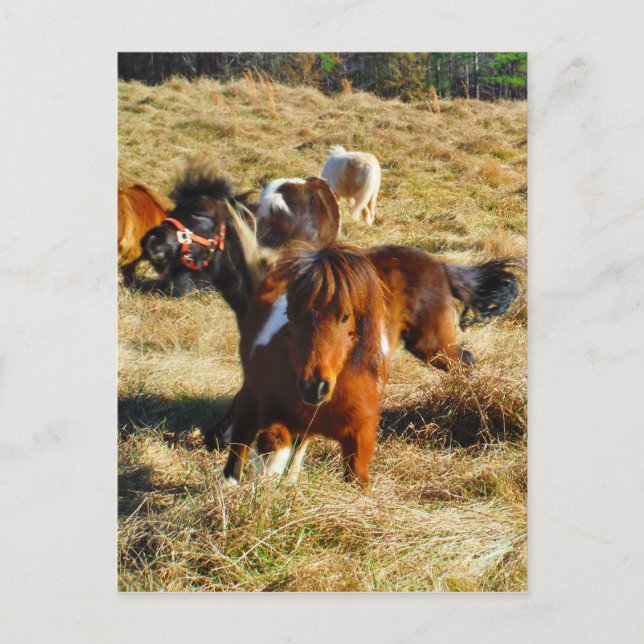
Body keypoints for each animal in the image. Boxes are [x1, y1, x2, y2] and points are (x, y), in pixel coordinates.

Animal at [223, 243, 390, 487]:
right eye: (289, 314)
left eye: (345, 315)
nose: (314, 387)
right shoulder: (272, 413)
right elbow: (272, 440)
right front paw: (269, 472)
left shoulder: (360, 436)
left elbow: (357, 476)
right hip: (251, 397)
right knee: (242, 440)